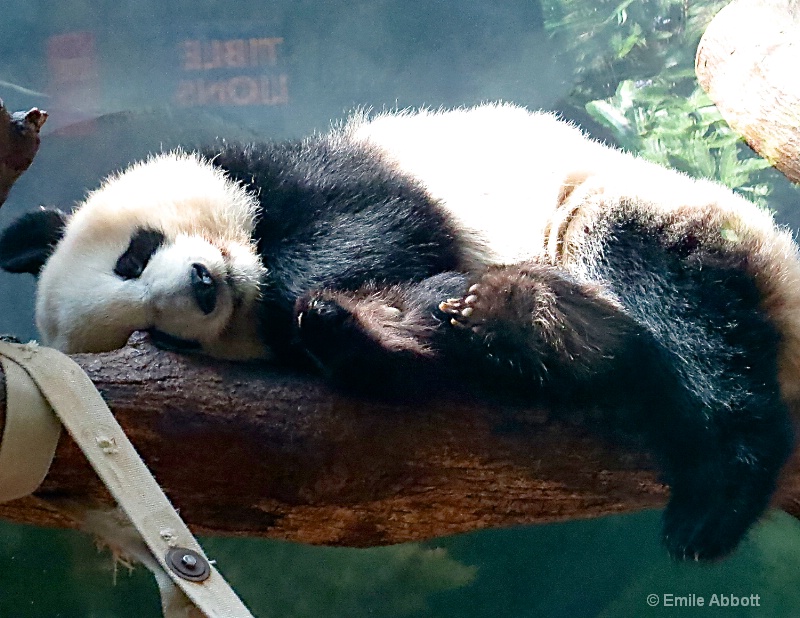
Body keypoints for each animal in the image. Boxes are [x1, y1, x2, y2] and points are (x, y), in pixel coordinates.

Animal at [1, 103, 800, 560]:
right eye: (164, 340)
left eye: (132, 256)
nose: (201, 288)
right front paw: (369, 331)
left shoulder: (313, 175)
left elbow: (374, 219)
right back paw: (522, 324)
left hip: (634, 210)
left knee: (678, 304)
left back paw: (719, 490)